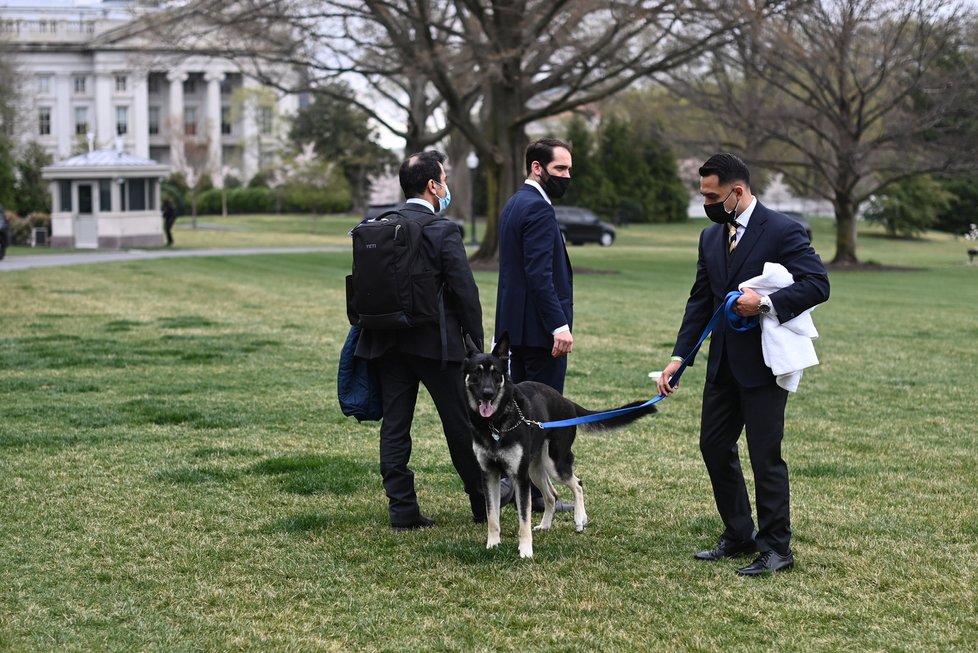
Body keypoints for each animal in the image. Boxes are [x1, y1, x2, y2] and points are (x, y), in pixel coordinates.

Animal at [460, 334, 656, 556]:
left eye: (496, 374)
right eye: (477, 372)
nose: (487, 393)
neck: (495, 423)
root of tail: (567, 401)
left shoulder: (520, 477)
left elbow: (524, 518)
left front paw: (525, 550)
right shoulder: (489, 474)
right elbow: (492, 515)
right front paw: (492, 544)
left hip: (554, 463)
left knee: (577, 483)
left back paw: (580, 519)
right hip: (536, 469)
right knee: (552, 496)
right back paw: (546, 525)